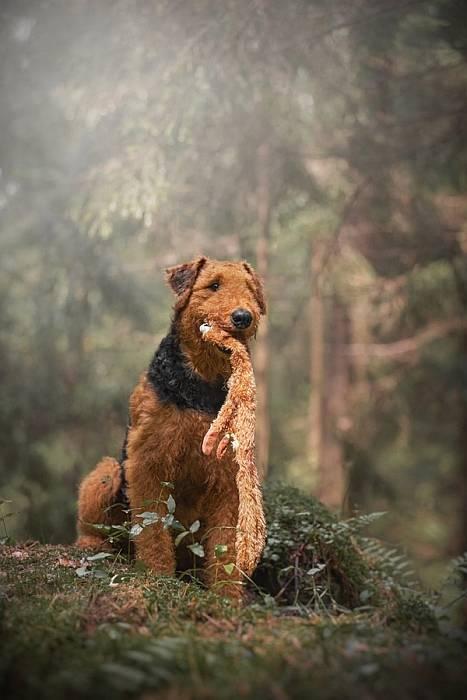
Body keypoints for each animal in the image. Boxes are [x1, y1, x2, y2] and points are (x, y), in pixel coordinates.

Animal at [77, 258, 266, 596]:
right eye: (214, 285)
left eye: (249, 288)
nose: (243, 317)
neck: (202, 380)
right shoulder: (148, 461)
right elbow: (152, 529)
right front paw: (158, 576)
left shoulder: (226, 477)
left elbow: (225, 546)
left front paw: (227, 596)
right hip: (108, 472)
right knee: (96, 528)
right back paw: (92, 545)